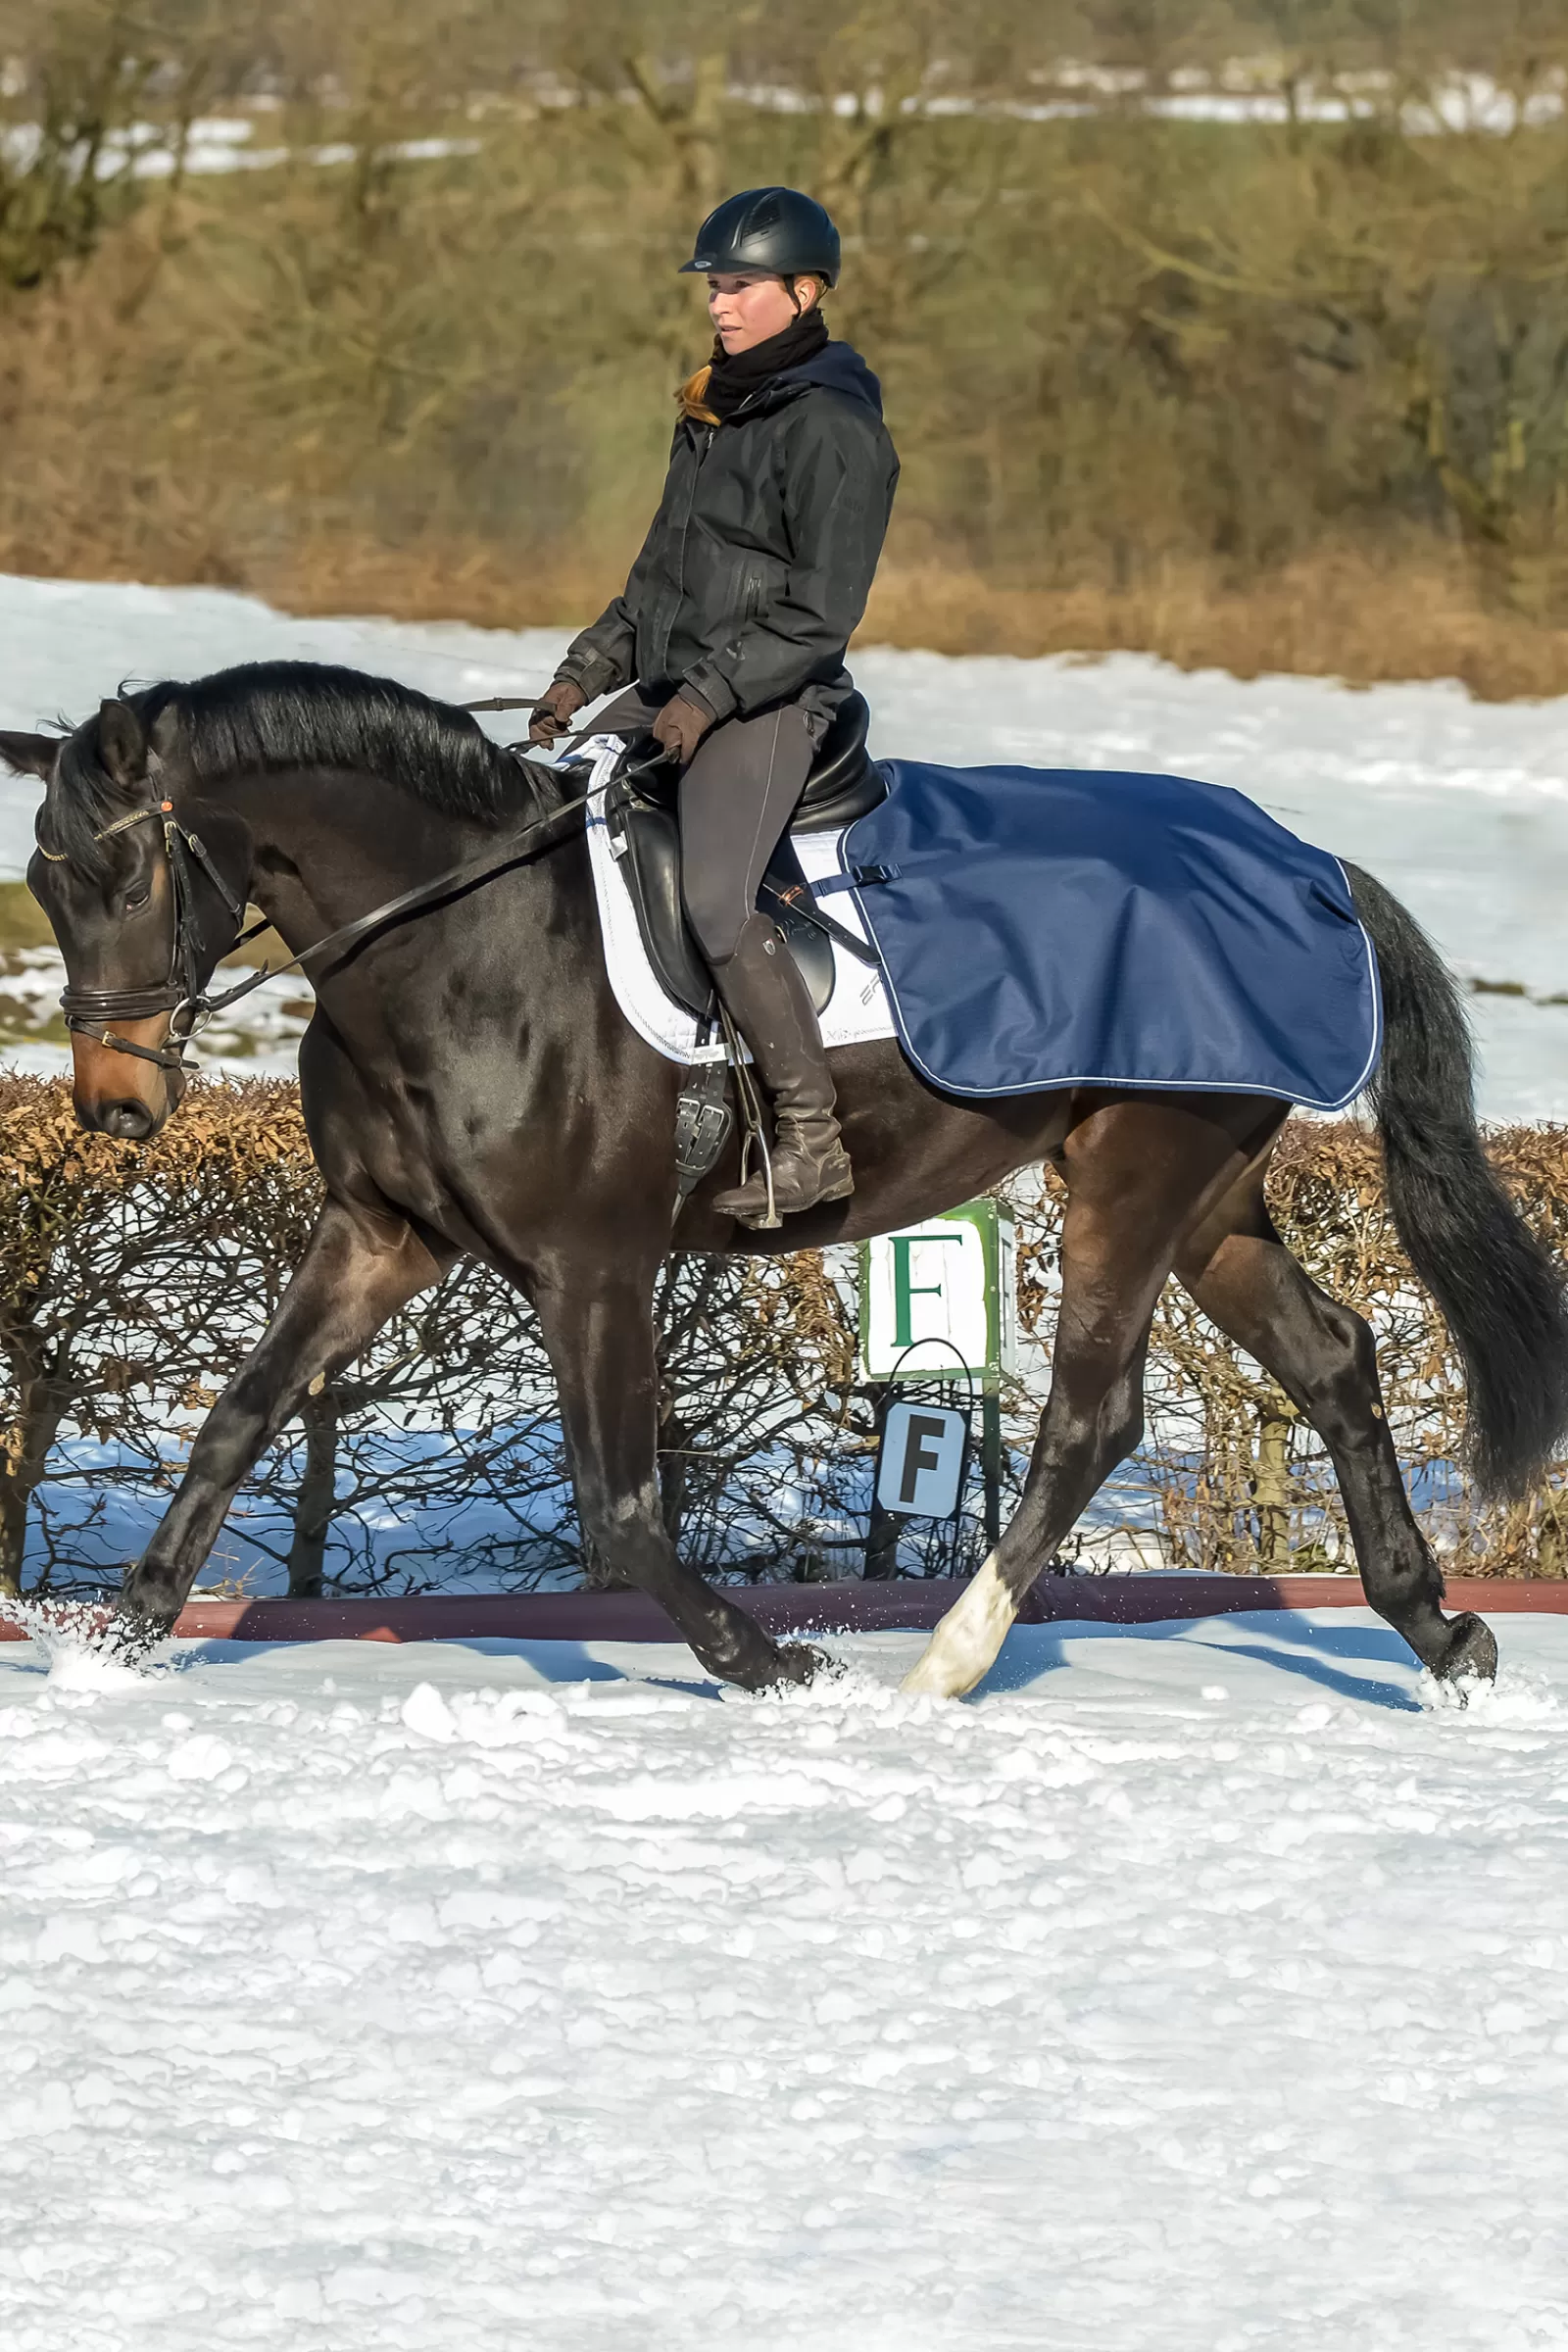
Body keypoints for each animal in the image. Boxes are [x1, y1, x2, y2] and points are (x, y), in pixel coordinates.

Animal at [6, 659, 1560, 1693]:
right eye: (46, 884)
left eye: (129, 878)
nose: (116, 1107)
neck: (461, 940)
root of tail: (1303, 863)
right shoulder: (379, 1234)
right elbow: (240, 1415)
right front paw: (126, 1635)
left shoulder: (593, 1266)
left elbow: (620, 1504)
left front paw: (764, 1661)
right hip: (1207, 1192)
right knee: (1335, 1356)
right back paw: (1439, 1632)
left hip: (1137, 1168)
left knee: (1089, 1421)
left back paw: (945, 1662)